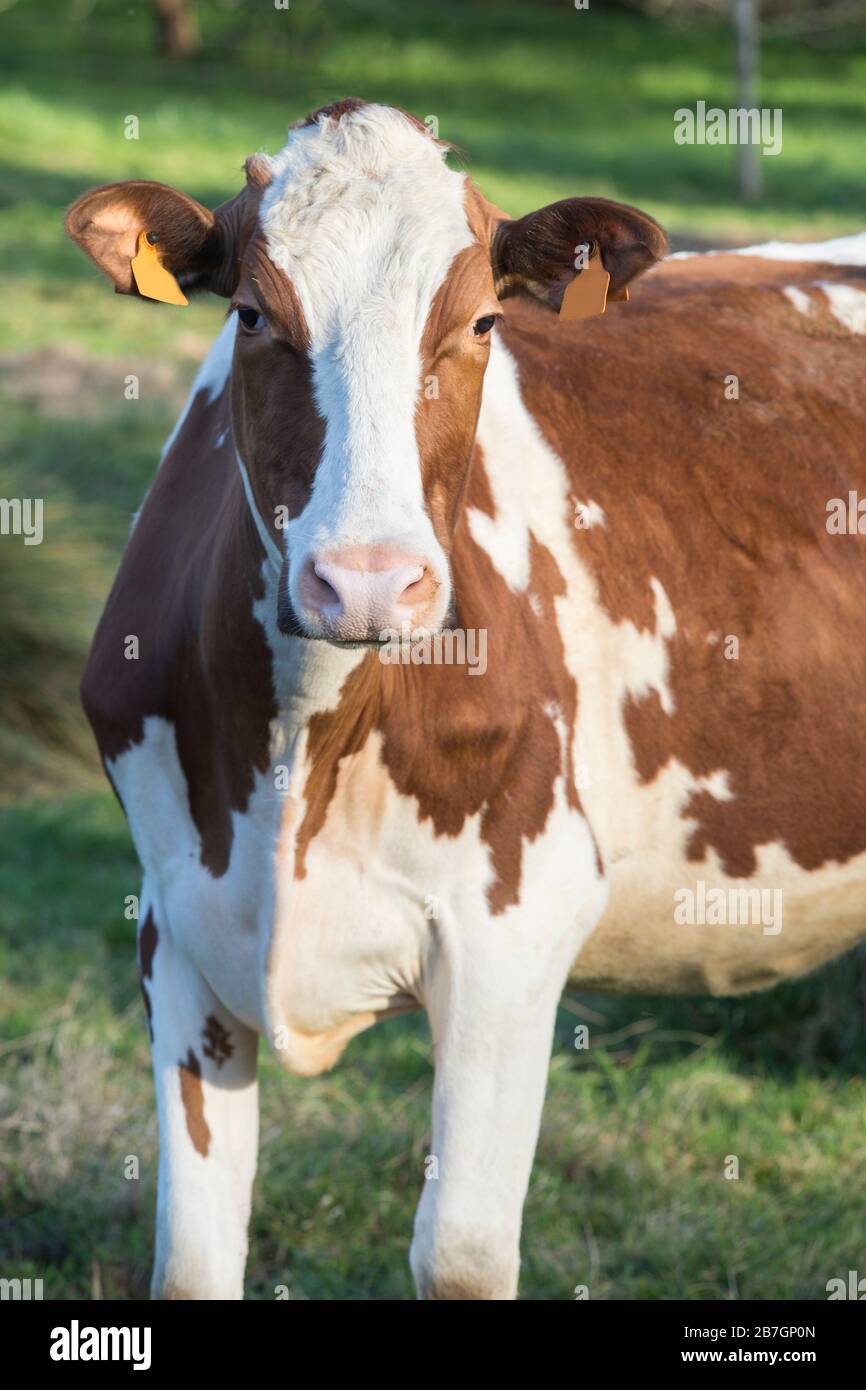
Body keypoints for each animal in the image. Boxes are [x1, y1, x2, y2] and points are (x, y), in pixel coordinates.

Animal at [65, 98, 866, 1300]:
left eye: (483, 321)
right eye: (251, 314)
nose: (365, 581)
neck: (302, 749)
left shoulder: (514, 927)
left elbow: (460, 1255)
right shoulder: (178, 930)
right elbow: (193, 1262)